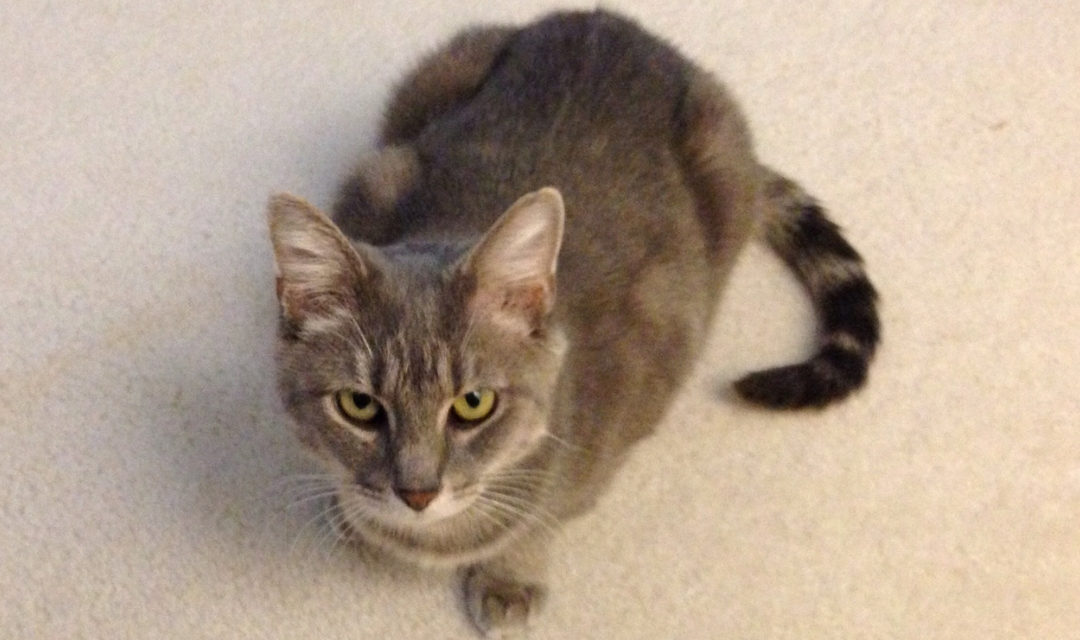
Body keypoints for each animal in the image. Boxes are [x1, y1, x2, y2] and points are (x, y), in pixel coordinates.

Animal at [267, 7, 876, 634]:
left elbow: (548, 514)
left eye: (474, 404)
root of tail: (613, 21)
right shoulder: (374, 182)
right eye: (359, 405)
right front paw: (351, 515)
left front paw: (511, 574)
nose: (417, 493)